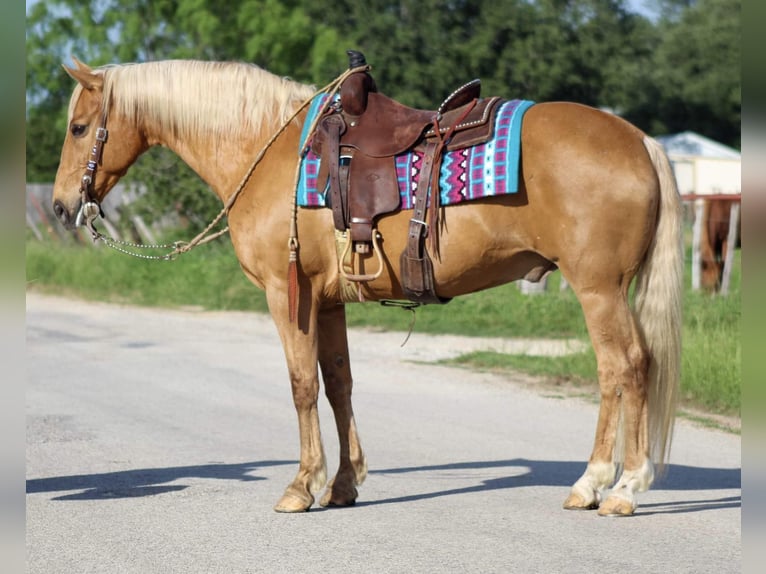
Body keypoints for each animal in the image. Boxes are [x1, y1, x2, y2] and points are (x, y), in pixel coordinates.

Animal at [51, 57, 684, 516]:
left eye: (79, 127)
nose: (59, 206)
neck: (269, 151)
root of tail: (639, 141)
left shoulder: (289, 296)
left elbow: (302, 385)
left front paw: (301, 486)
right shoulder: (328, 301)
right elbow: (338, 385)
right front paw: (343, 485)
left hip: (598, 287)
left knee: (624, 366)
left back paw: (617, 486)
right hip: (605, 290)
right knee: (622, 371)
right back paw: (599, 485)